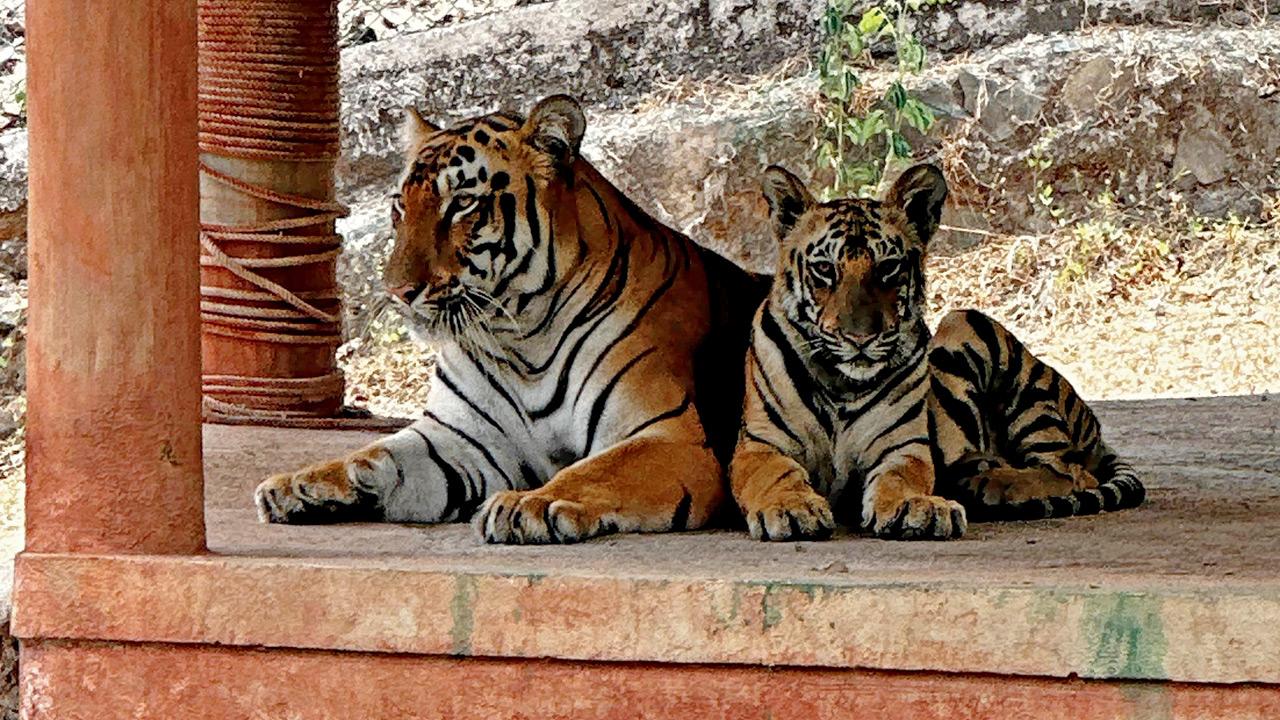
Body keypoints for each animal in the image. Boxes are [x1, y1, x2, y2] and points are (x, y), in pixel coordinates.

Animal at [254, 94, 768, 544]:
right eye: (400, 205)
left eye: (462, 203)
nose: (397, 291)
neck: (521, 338)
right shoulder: (458, 439)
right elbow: (380, 453)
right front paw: (300, 483)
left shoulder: (668, 437)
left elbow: (591, 470)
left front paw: (527, 504)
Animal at [730, 163, 1145, 541]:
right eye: (824, 269)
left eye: (888, 267)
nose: (860, 338)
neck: (842, 383)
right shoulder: (761, 443)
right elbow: (776, 473)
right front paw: (791, 507)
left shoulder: (903, 446)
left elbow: (901, 477)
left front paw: (916, 508)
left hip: (975, 333)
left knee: (1070, 471)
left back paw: (993, 487)